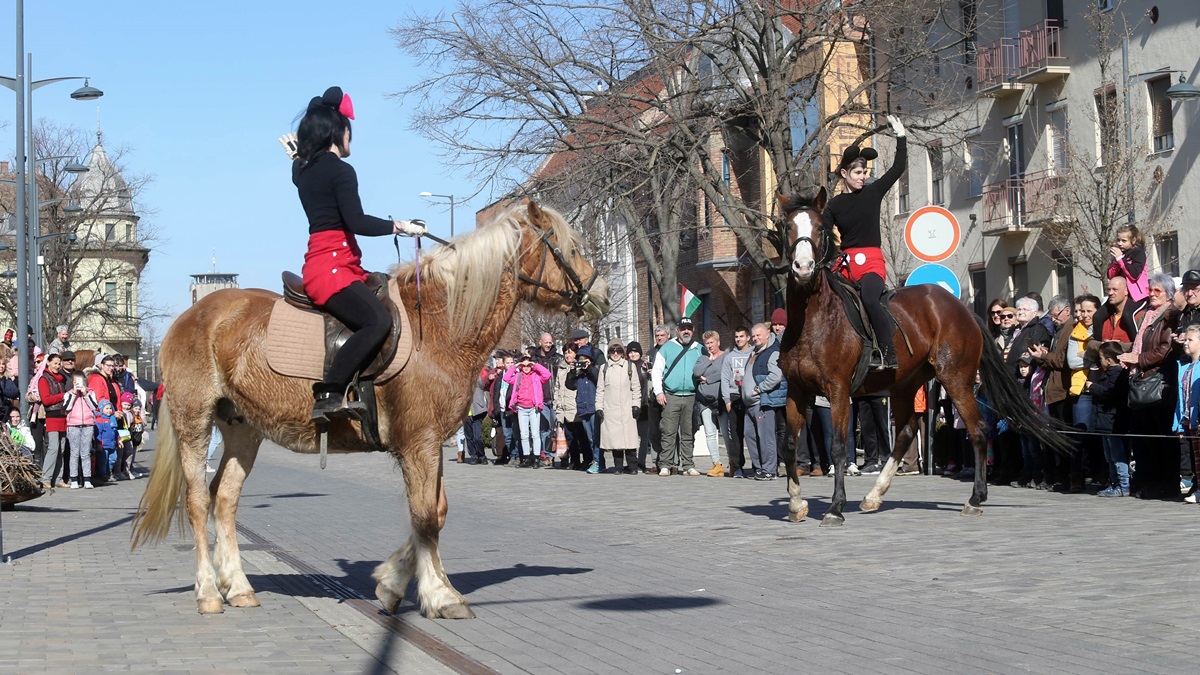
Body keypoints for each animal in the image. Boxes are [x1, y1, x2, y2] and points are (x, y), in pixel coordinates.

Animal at [131, 201, 609, 619]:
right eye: (570, 247)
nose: (602, 294)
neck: (439, 326)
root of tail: (191, 314)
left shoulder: (430, 442)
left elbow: (434, 511)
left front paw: (394, 582)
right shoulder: (419, 443)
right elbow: (425, 516)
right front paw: (438, 596)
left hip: (242, 429)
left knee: (225, 498)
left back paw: (239, 588)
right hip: (195, 421)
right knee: (197, 500)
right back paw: (209, 593)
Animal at [777, 189, 1070, 526]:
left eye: (819, 228)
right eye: (788, 227)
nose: (802, 267)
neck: (814, 321)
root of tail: (962, 309)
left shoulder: (838, 391)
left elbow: (838, 447)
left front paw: (835, 507)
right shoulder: (797, 390)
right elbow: (788, 445)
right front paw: (795, 504)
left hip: (956, 379)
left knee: (978, 429)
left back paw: (975, 498)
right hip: (905, 384)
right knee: (906, 432)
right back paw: (874, 495)